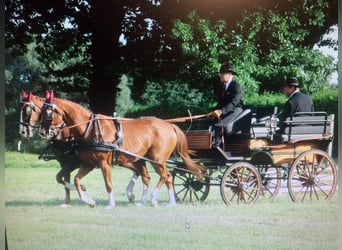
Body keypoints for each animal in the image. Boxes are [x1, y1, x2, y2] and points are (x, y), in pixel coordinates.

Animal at [38, 91, 203, 208]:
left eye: (47, 113)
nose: (42, 132)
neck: (90, 129)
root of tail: (169, 125)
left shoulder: (104, 163)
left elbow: (108, 183)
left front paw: (111, 204)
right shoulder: (88, 163)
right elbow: (76, 180)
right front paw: (88, 200)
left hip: (157, 160)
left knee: (166, 176)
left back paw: (156, 199)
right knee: (155, 177)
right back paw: (161, 202)